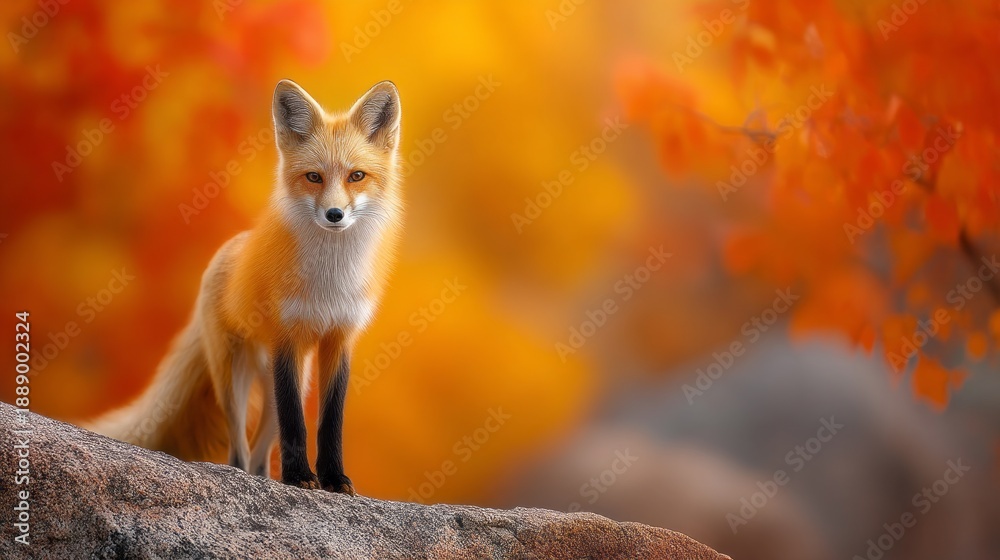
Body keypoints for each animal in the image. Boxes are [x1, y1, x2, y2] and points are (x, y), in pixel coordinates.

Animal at [86, 79, 403, 494]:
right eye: (313, 177)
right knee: (239, 451)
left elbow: (329, 423)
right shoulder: (287, 336)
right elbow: (295, 424)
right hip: (234, 383)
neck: (329, 282)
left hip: (286, 381)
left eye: (356, 176)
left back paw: (267, 480)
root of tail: (228, 248)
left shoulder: (339, 339)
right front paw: (299, 477)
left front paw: (333, 479)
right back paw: (243, 477)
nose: (335, 214)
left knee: (259, 457)